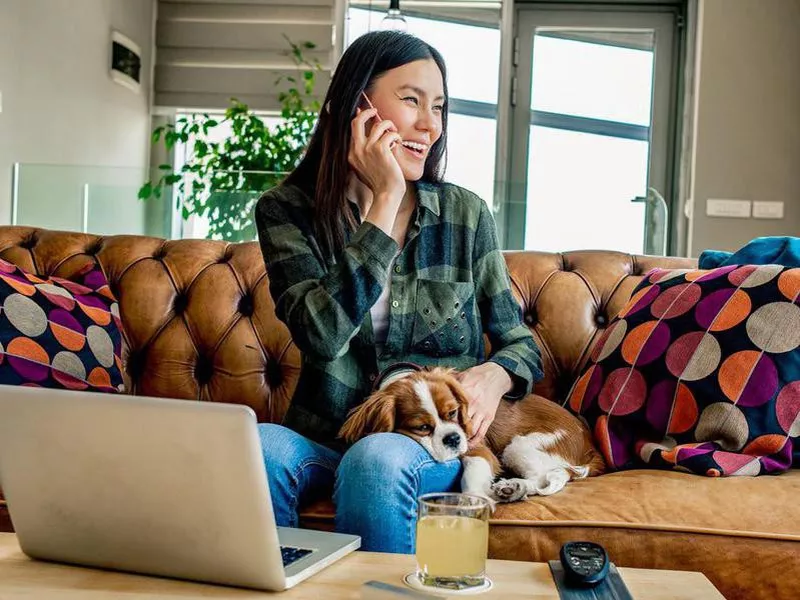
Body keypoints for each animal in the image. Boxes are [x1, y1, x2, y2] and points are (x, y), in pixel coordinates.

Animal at [338, 366, 608, 506]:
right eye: (422, 428)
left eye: (453, 412)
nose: (453, 439)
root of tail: (589, 443)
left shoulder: (477, 445)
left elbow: (472, 474)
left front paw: (474, 499)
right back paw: (512, 488)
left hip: (518, 447)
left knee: (545, 477)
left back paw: (513, 487)